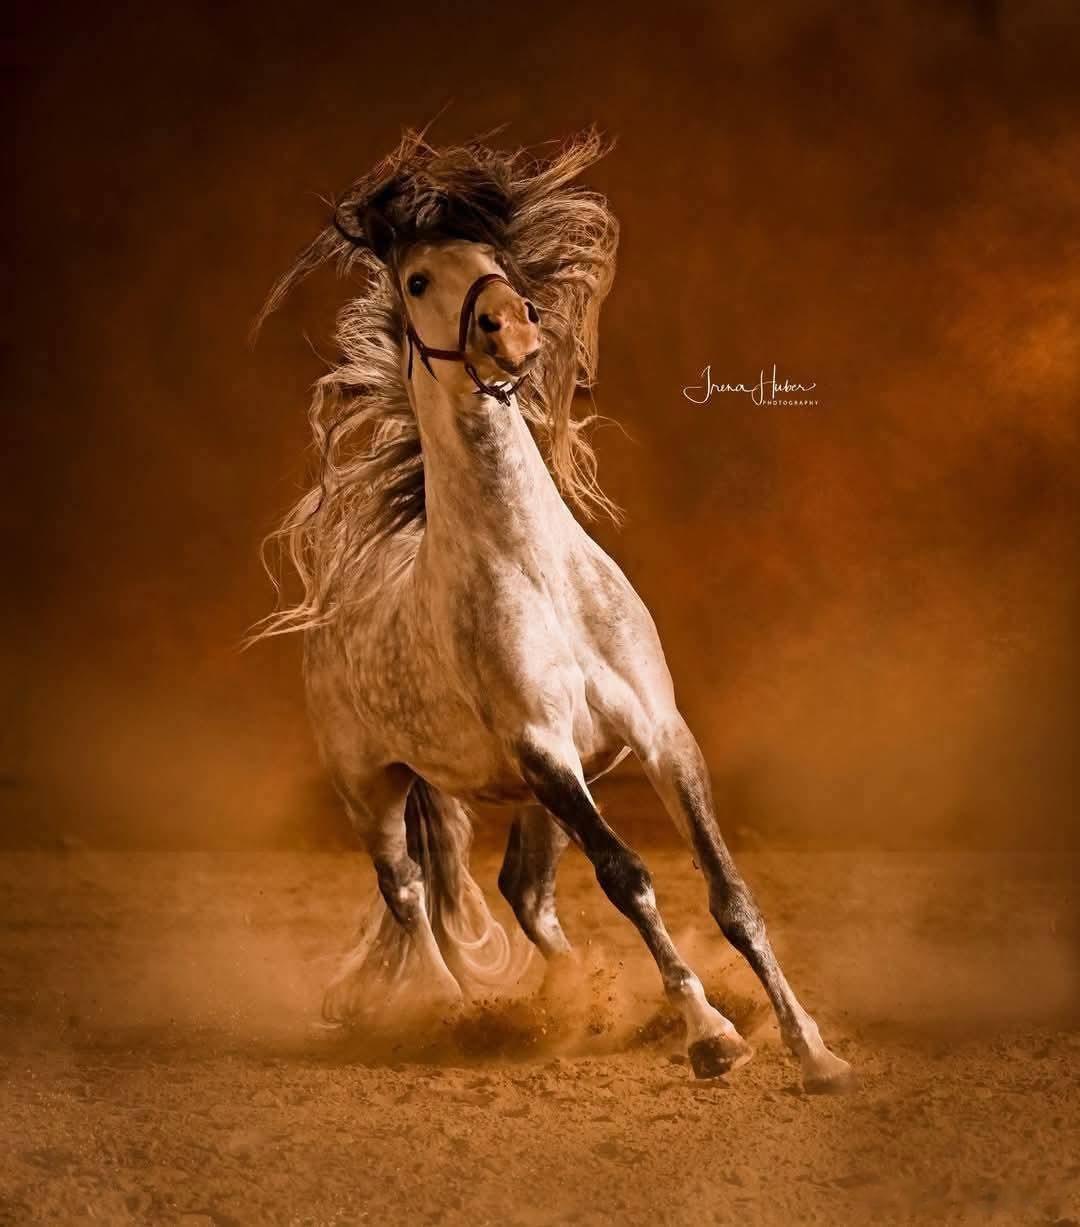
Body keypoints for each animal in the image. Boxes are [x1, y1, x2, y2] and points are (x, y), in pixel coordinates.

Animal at [253, 129, 853, 1092]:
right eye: (417, 278)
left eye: (493, 255)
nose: (512, 325)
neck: (538, 573)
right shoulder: (543, 751)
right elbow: (629, 875)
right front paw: (712, 1035)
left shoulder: (653, 733)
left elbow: (729, 892)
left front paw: (814, 1048)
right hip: (377, 790)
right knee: (411, 897)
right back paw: (453, 1013)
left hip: (530, 796)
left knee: (519, 892)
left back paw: (581, 999)